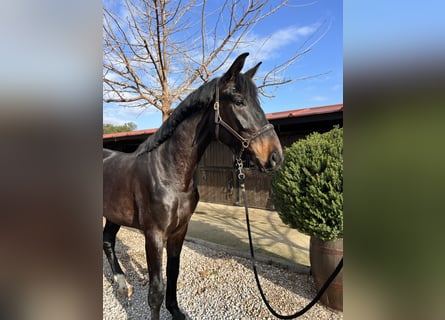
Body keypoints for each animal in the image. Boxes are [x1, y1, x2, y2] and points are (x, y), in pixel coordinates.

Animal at [103, 53, 280, 318]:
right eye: (239, 101)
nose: (275, 156)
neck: (169, 175)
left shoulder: (179, 231)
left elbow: (173, 272)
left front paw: (176, 311)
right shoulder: (154, 235)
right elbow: (155, 291)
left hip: (114, 215)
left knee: (107, 240)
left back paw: (123, 285)